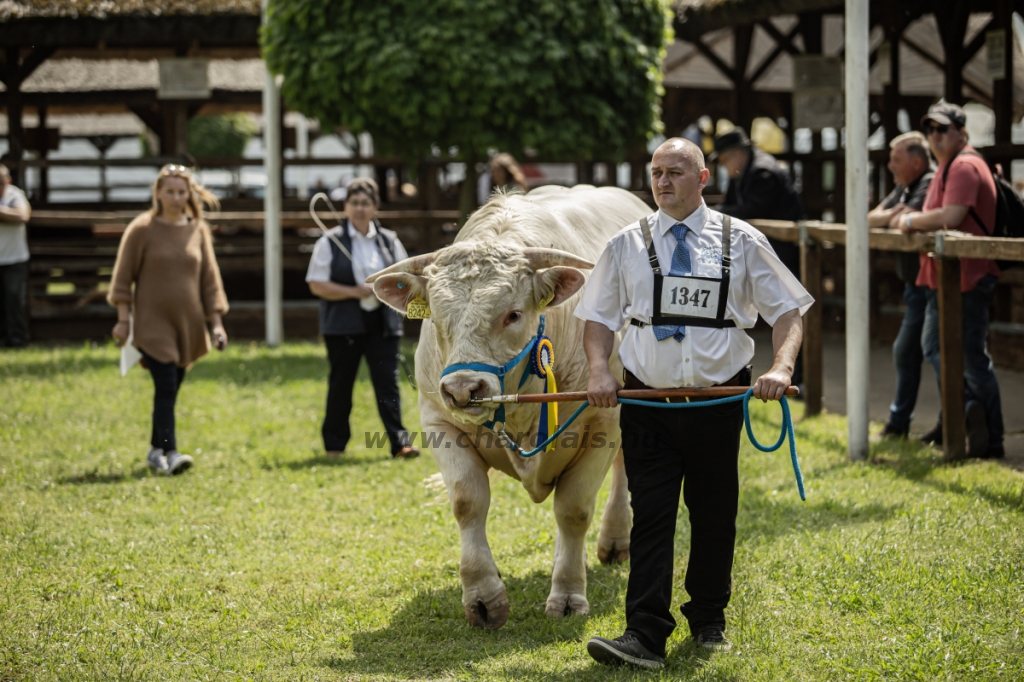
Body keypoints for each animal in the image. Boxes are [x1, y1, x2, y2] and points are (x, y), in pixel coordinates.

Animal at [372, 184, 651, 626]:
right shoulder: (438, 420)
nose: (463, 389)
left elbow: (573, 510)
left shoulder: (603, 420)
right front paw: (483, 596)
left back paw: (615, 538)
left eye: (513, 314)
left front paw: (568, 594)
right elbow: (468, 502)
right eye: (436, 319)